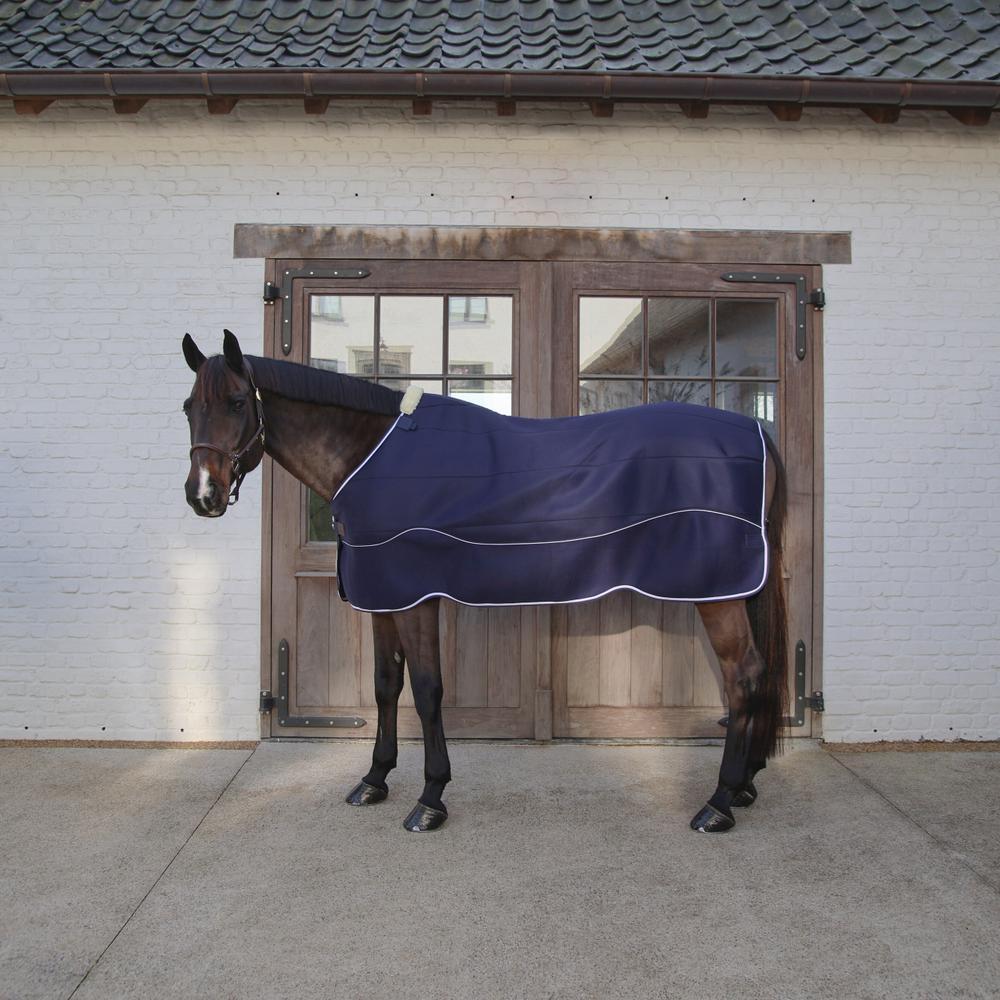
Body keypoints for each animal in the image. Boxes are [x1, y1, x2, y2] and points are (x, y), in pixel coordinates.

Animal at [182, 330, 788, 834]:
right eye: (190, 407)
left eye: (237, 402)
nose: (202, 494)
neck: (369, 454)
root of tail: (756, 429)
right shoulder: (381, 595)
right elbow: (384, 685)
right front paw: (374, 780)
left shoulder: (416, 597)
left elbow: (427, 690)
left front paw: (429, 799)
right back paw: (745, 787)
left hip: (719, 596)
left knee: (743, 675)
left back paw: (718, 803)